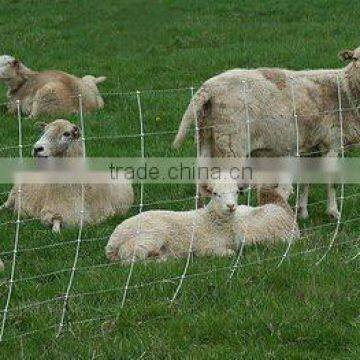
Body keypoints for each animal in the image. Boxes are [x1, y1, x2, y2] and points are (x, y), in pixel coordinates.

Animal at [0, 119, 134, 232]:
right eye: (44, 131)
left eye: (66, 134)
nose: (37, 149)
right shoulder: (50, 213)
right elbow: (55, 229)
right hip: (13, 193)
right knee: (5, 205)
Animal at [105, 176, 300, 262]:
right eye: (215, 193)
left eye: (236, 192)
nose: (231, 206)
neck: (212, 220)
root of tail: (112, 242)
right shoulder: (207, 246)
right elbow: (228, 253)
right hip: (149, 236)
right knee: (129, 258)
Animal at [172, 45, 360, 219]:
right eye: (355, 59)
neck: (344, 90)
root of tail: (207, 89)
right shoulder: (332, 142)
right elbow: (332, 181)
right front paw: (334, 212)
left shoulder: (312, 145)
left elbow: (306, 180)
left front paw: (302, 211)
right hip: (231, 144)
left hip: (206, 138)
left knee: (201, 183)